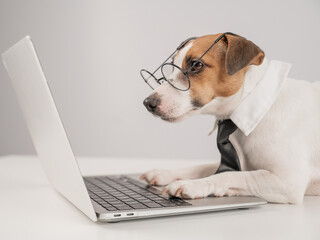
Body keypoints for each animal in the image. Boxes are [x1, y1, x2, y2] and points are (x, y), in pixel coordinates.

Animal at [139, 32, 320, 204]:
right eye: (171, 68)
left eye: (196, 65)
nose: (148, 103)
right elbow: (202, 167)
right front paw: (166, 173)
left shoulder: (287, 181)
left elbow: (231, 175)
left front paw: (192, 184)